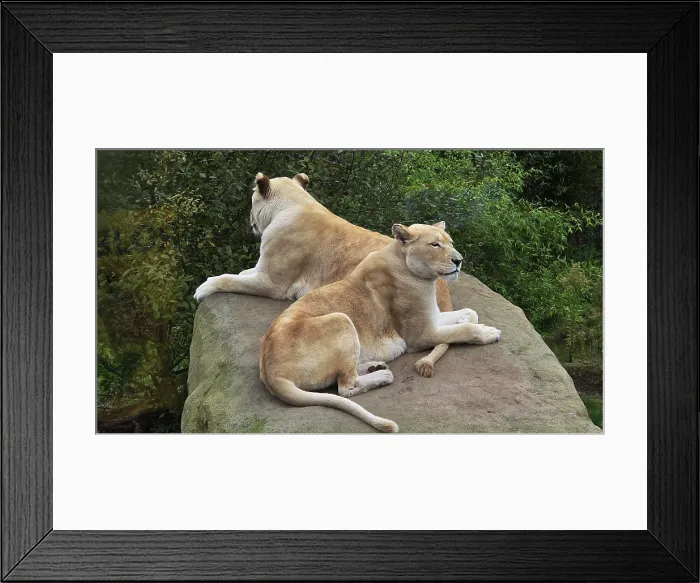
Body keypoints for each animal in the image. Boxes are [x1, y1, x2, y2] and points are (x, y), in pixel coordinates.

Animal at [194, 172, 459, 377]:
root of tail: (444, 288)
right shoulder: (263, 270)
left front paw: (202, 288)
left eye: (251, 202)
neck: (294, 204)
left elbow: (229, 278)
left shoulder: (271, 283)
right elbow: (240, 272)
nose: (248, 219)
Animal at [258, 222, 502, 433]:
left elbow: (471, 313)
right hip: (341, 319)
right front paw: (489, 333)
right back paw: (382, 376)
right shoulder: (420, 335)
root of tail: (271, 373)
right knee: (346, 387)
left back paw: (374, 366)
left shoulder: (432, 317)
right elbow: (466, 330)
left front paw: (468, 321)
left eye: (450, 242)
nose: (459, 261)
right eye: (435, 245)